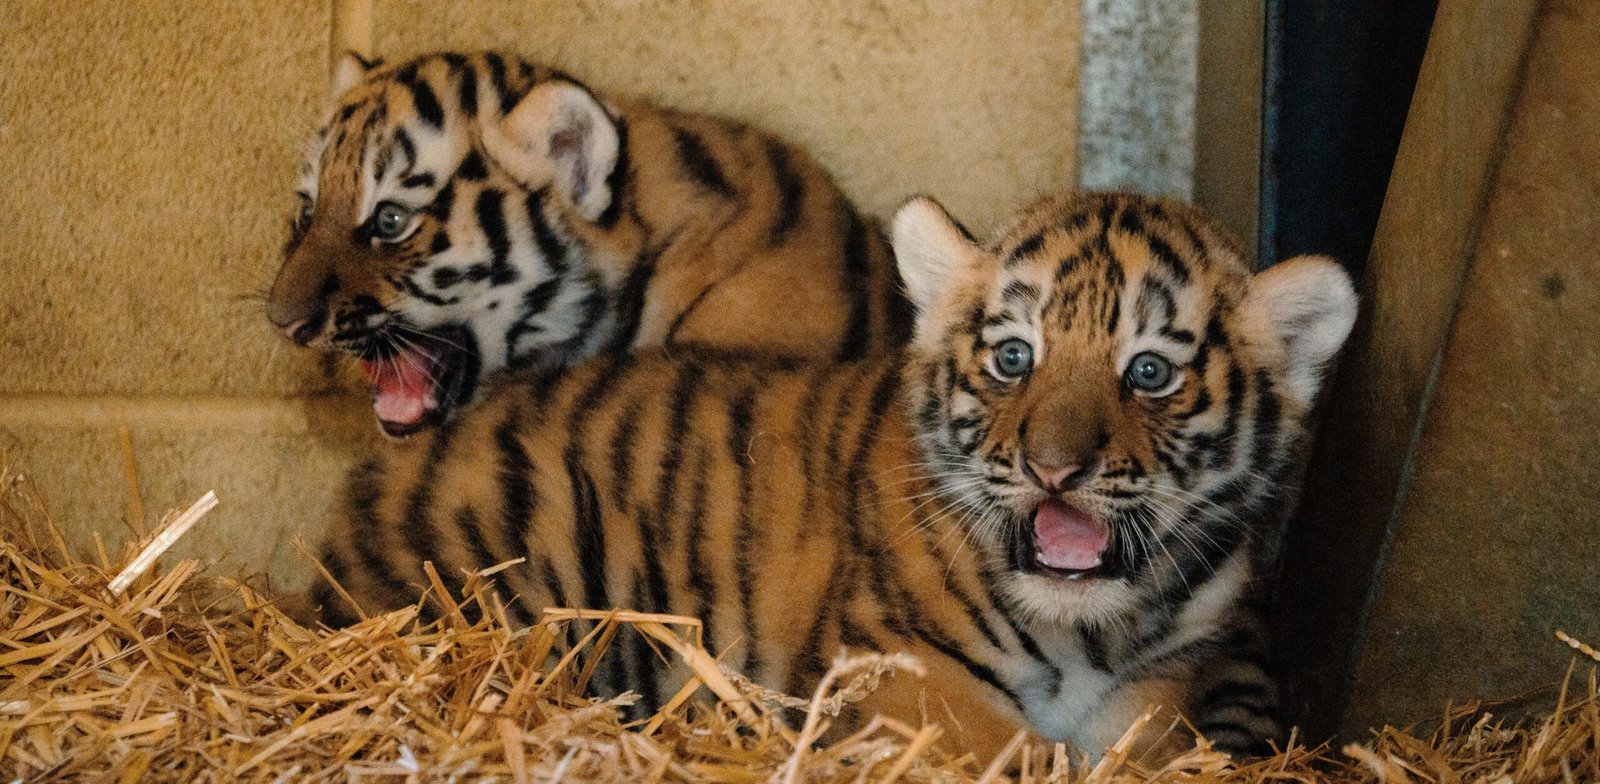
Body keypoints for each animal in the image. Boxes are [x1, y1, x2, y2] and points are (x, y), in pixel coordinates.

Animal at [307, 191, 1358, 760]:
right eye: (1014, 357)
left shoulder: (1161, 687)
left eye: (1148, 372)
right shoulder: (902, 673)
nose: (1054, 469)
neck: (1094, 629)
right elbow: (1022, 755)